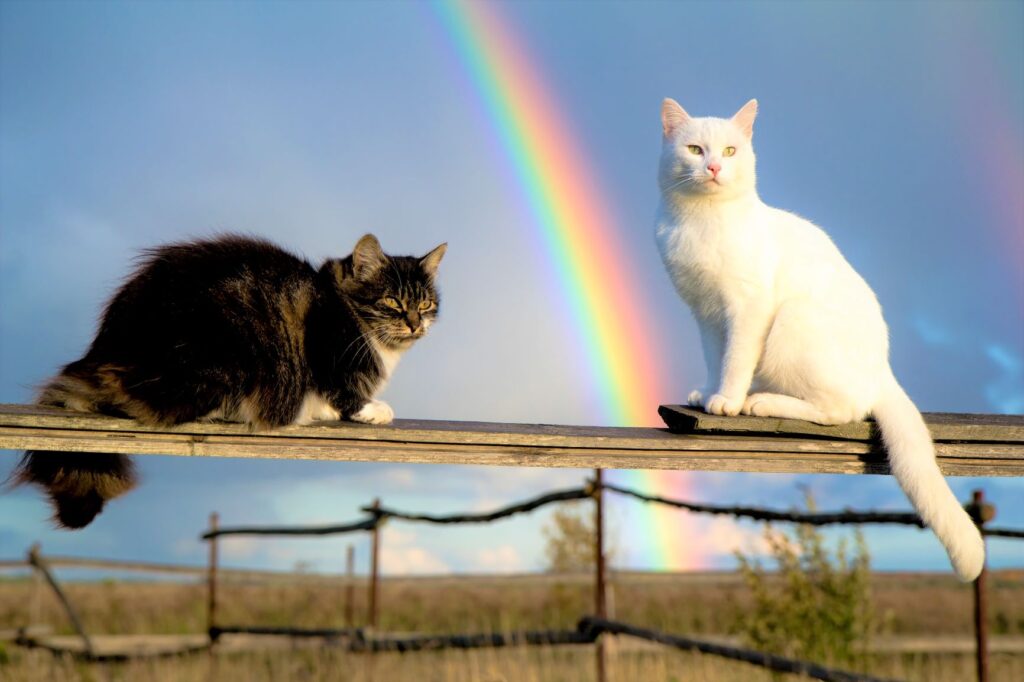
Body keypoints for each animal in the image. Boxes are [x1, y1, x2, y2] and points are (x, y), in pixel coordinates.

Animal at [655, 99, 983, 577]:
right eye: (695, 149)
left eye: (731, 151)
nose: (714, 167)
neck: (701, 221)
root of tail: (883, 370)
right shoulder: (706, 314)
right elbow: (717, 359)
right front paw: (709, 393)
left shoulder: (747, 308)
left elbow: (735, 360)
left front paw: (727, 401)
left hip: (794, 318)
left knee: (840, 410)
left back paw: (760, 402)